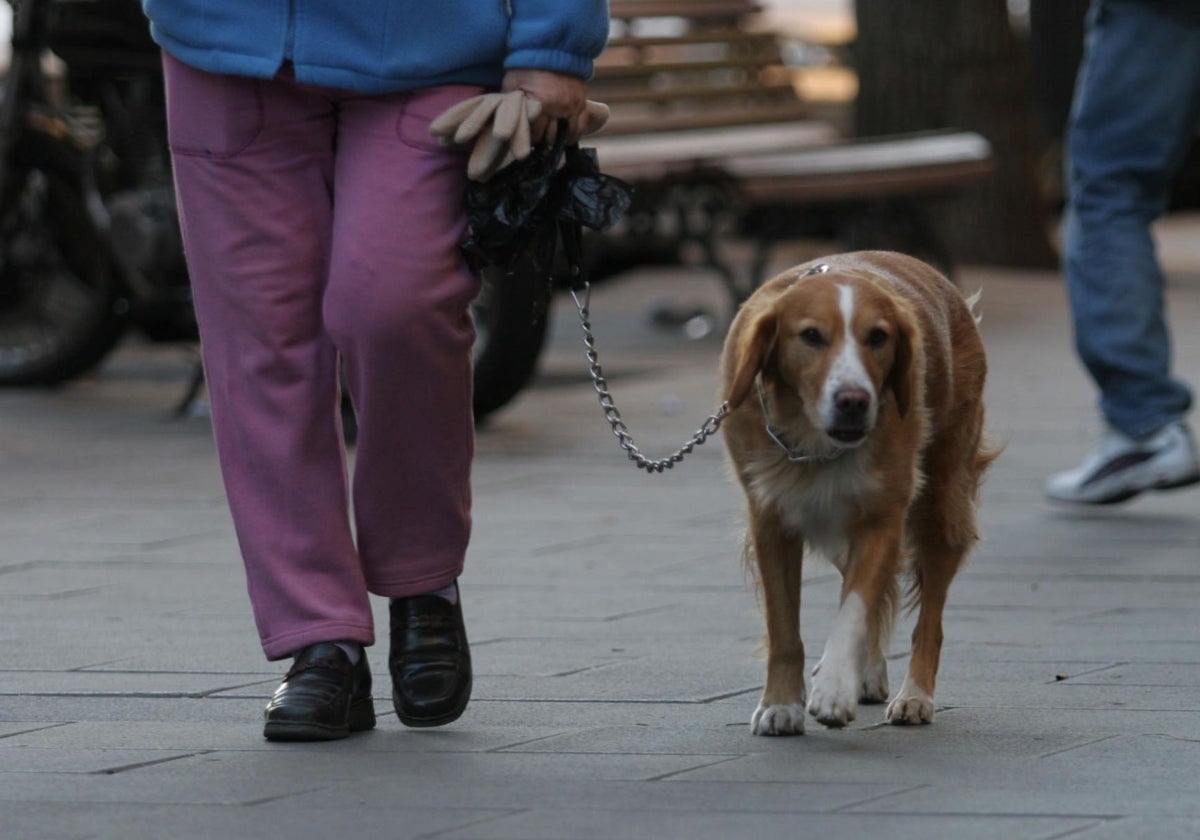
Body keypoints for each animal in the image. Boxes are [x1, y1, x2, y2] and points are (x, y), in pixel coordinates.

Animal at [715, 250, 998, 734]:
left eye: (878, 337)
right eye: (811, 336)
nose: (853, 401)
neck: (813, 441)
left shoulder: (882, 517)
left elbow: (855, 607)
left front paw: (833, 688)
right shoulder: (770, 518)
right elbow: (783, 624)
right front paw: (782, 702)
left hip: (944, 503)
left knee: (929, 621)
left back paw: (913, 695)